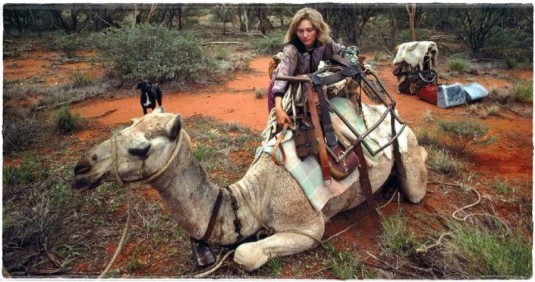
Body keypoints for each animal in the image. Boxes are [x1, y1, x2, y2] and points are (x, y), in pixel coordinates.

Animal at [73, 107, 430, 272]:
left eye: (140, 149)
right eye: (128, 124)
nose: (81, 169)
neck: (252, 200)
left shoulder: (310, 227)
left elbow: (244, 252)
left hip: (407, 146)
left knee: (417, 176)